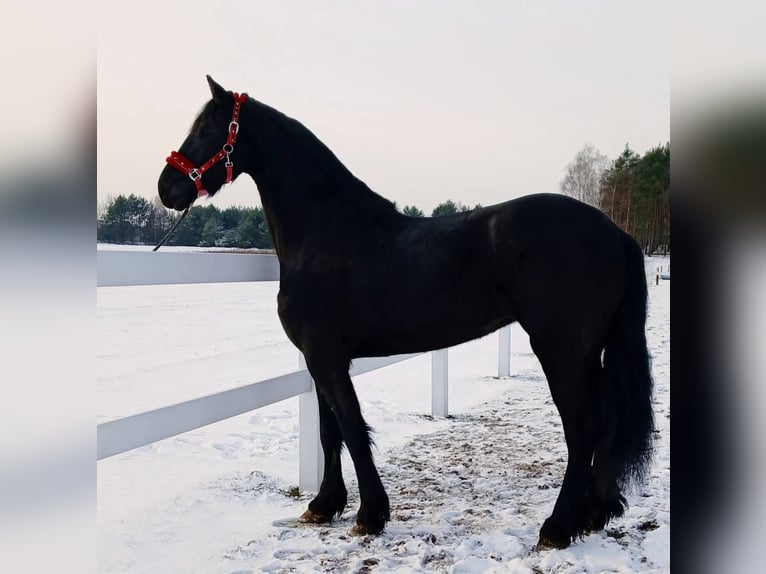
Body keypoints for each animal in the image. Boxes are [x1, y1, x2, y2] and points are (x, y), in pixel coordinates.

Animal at [156, 75, 656, 548]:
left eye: (206, 128)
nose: (166, 188)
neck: (326, 233)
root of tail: (615, 233)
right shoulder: (319, 361)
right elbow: (328, 432)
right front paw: (324, 505)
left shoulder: (328, 359)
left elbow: (352, 429)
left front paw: (369, 514)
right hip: (590, 354)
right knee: (607, 424)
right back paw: (597, 513)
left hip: (563, 353)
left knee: (583, 429)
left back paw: (558, 526)